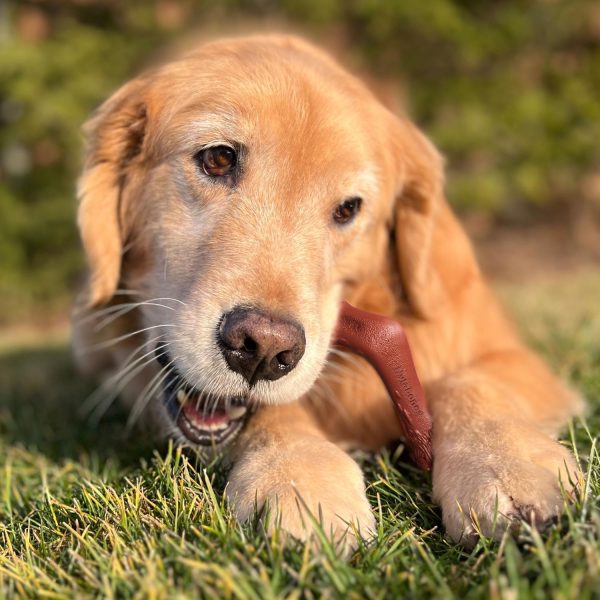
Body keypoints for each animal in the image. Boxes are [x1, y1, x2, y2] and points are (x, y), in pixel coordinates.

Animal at [70, 32, 580, 548]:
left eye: (348, 208)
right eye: (217, 158)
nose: (262, 349)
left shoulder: (512, 354)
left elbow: (471, 382)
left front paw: (507, 467)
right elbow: (272, 412)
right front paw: (300, 479)